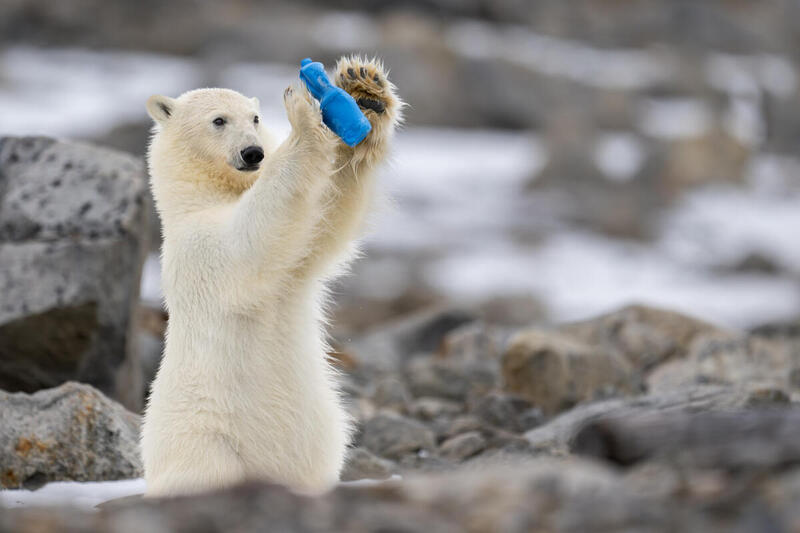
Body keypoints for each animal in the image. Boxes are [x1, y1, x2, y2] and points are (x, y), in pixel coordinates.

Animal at [141, 56, 404, 496]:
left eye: (254, 118)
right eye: (218, 120)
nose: (253, 152)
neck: (201, 197)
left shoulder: (296, 258)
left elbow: (326, 218)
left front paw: (365, 92)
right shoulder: (197, 248)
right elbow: (251, 237)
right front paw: (302, 112)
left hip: (316, 440)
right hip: (202, 439)